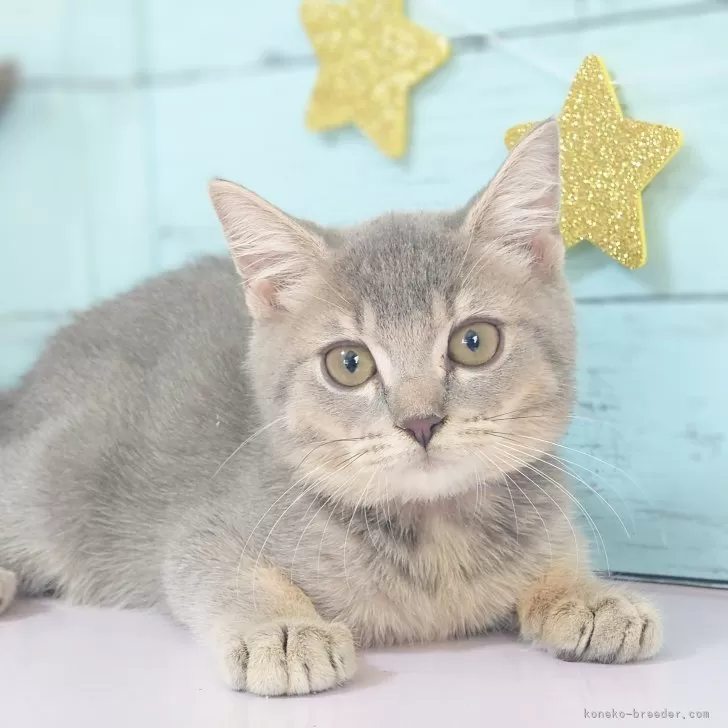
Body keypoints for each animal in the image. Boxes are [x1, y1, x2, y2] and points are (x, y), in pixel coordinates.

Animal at [0, 122, 660, 696]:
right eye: (349, 363)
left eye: (475, 342)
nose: (421, 421)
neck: (435, 538)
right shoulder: (201, 530)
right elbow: (221, 573)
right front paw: (284, 630)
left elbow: (559, 557)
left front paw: (587, 595)